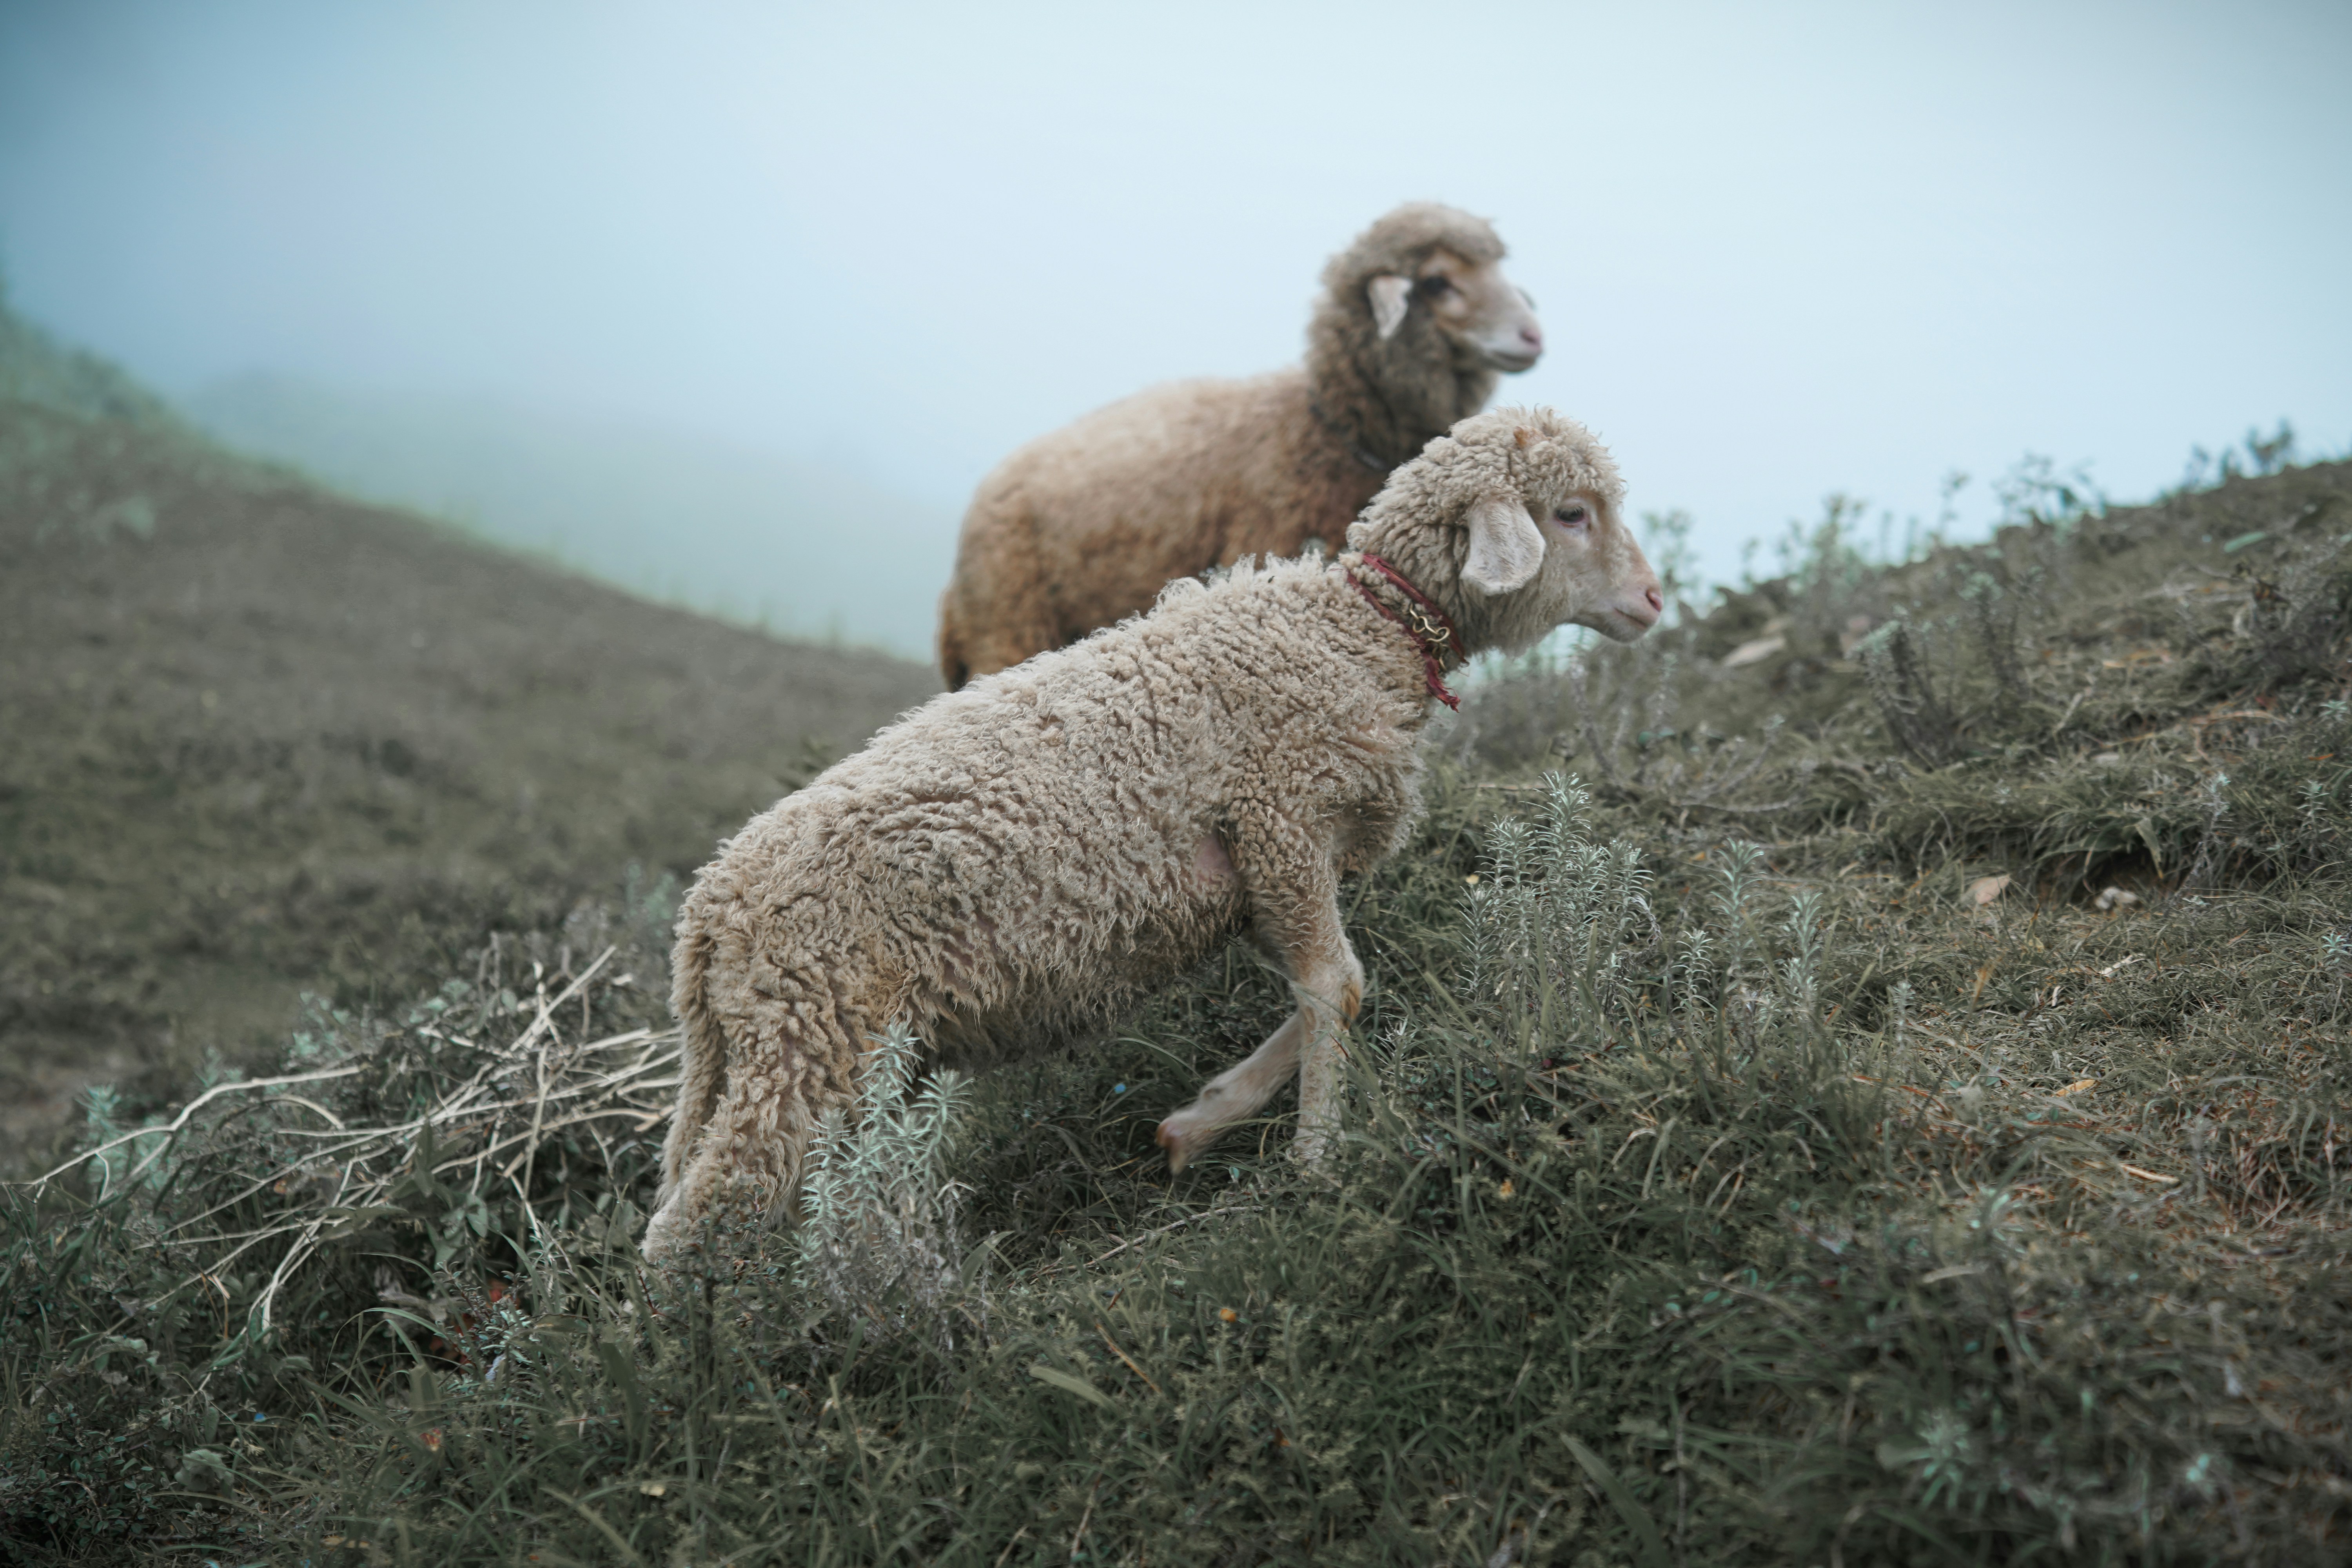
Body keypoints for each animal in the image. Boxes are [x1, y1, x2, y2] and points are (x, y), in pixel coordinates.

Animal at [643, 405, 1661, 1261]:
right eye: (1573, 513)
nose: (1654, 602)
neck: (1357, 630)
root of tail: (708, 916)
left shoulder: (1263, 871)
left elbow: (1327, 989)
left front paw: (1202, 1120)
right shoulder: (1280, 818)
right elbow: (1337, 985)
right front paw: (1317, 1157)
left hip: (788, 1046)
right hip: (807, 1034)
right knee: (700, 1215)